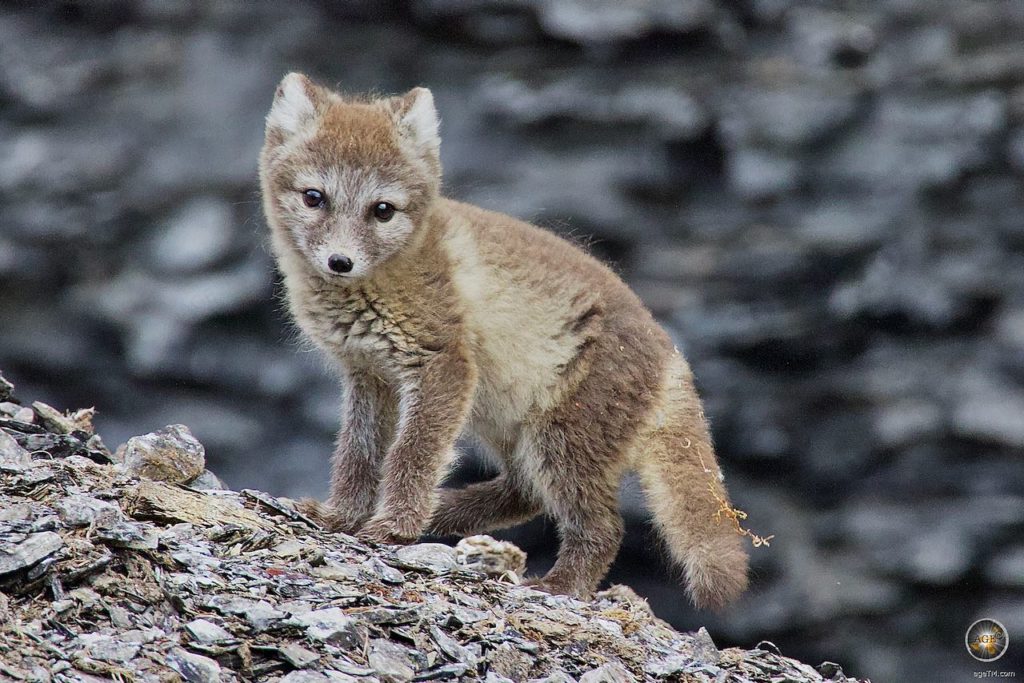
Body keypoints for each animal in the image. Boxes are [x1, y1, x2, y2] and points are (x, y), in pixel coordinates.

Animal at [260, 73, 749, 610]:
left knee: (603, 526)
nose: (340, 262)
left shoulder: (441, 363)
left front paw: (393, 527)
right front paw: (343, 517)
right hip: (508, 424)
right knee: (524, 494)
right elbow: (359, 454)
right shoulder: (368, 375)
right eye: (314, 197)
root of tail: (671, 355)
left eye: (382, 210)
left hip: (560, 441)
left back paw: (559, 585)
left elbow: (412, 454)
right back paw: (443, 515)